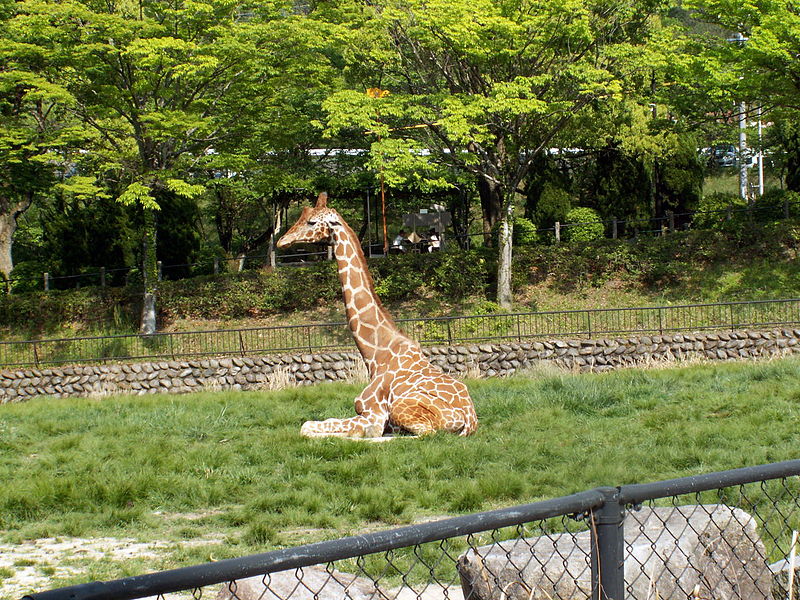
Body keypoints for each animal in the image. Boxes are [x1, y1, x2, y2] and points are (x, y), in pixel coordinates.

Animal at [276, 195, 476, 438]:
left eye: (312, 222)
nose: (282, 241)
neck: (376, 356)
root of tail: (471, 421)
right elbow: (318, 424)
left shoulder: (374, 415)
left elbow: (308, 427)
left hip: (402, 409)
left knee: (424, 434)